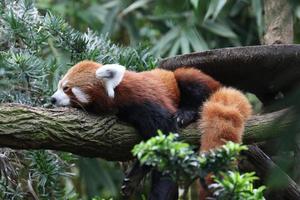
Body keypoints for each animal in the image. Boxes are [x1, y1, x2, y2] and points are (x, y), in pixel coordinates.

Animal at [51, 60, 251, 200]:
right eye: (59, 85)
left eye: (66, 88)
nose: (52, 99)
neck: (117, 96)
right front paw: (135, 176)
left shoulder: (146, 102)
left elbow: (167, 142)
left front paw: (158, 192)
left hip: (192, 80)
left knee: (189, 80)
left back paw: (186, 112)